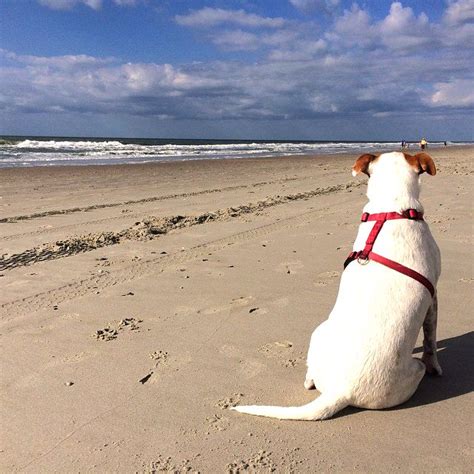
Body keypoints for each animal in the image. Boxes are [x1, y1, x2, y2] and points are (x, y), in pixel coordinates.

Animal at [231, 151, 442, 418]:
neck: (390, 209)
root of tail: (342, 391)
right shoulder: (433, 296)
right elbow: (430, 340)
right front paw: (436, 366)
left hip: (319, 334)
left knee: (310, 378)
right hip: (412, 370)